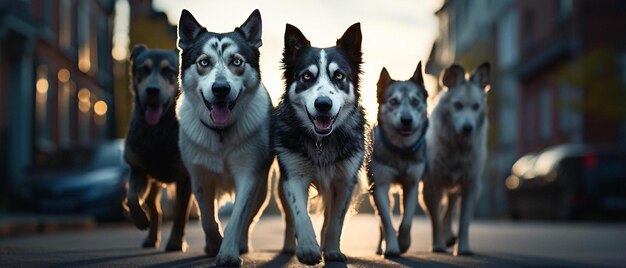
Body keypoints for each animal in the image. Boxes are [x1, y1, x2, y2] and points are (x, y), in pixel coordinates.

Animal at [177, 9, 272, 266]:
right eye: (204, 62)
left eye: (237, 61)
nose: (221, 89)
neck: (220, 133)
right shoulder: (200, 179)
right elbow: (207, 220)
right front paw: (214, 244)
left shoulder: (248, 176)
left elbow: (238, 220)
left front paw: (228, 252)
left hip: (263, 189)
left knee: (250, 218)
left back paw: (242, 244)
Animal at [270, 23, 364, 266]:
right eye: (306, 76)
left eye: (339, 75)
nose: (323, 104)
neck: (321, 141)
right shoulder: (293, 176)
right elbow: (300, 215)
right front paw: (308, 249)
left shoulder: (344, 182)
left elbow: (335, 222)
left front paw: (331, 251)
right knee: (289, 218)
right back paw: (289, 245)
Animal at [368, 61, 426, 258]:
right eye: (393, 101)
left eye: (416, 101)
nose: (406, 120)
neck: (400, 151)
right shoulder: (379, 186)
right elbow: (386, 221)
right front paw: (392, 247)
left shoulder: (412, 184)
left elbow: (406, 221)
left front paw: (404, 243)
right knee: (380, 221)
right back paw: (381, 247)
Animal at [416, 62, 490, 255]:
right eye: (457, 105)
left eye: (476, 106)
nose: (468, 128)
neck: (457, 148)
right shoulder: (431, 186)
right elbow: (435, 219)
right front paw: (437, 245)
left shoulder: (471, 186)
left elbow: (464, 222)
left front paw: (463, 248)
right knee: (442, 212)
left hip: (455, 188)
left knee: (449, 209)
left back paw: (449, 236)